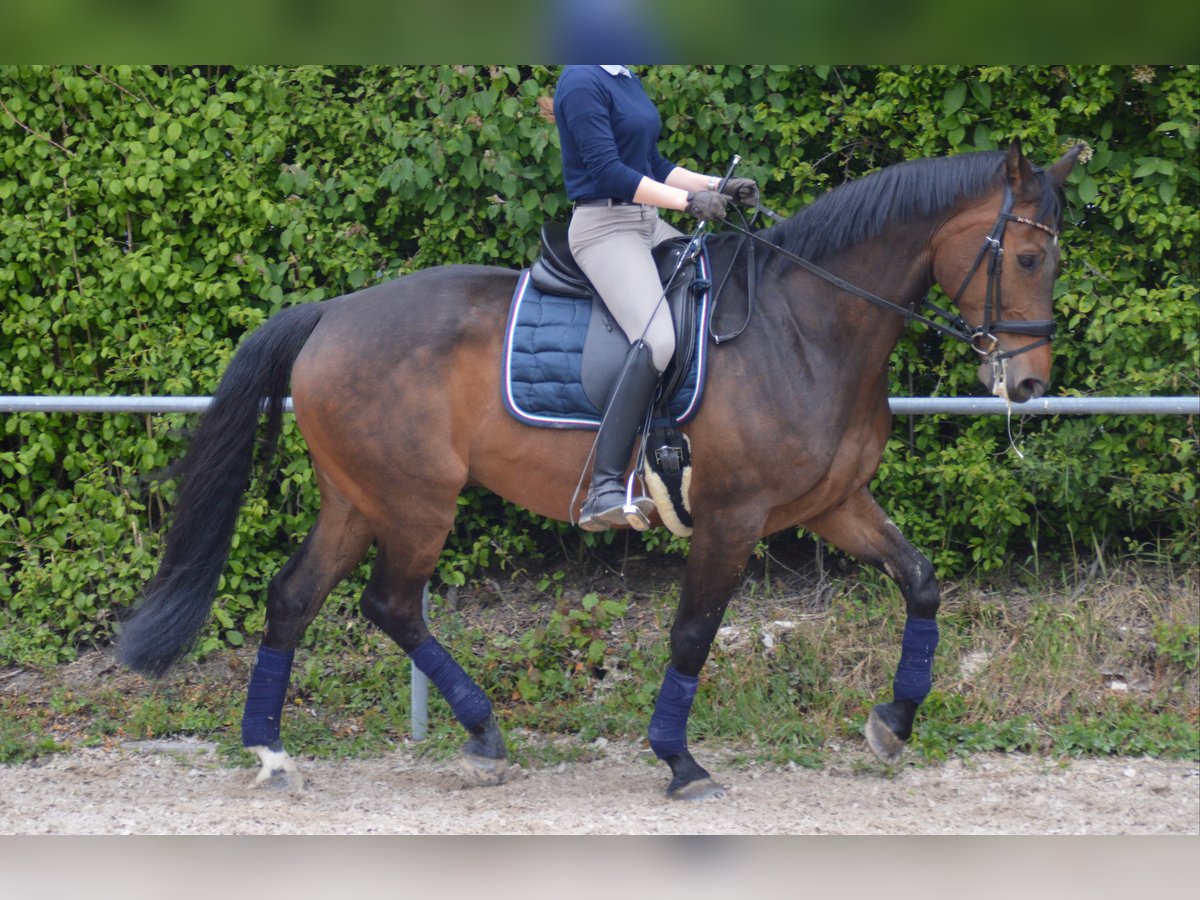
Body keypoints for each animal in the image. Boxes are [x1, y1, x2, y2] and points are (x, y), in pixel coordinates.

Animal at [117, 137, 1084, 801]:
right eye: (1028, 256)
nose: (1029, 384)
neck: (806, 326)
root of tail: (330, 313)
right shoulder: (732, 517)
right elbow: (692, 634)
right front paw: (680, 761)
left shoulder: (833, 502)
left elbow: (921, 582)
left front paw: (893, 723)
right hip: (416, 502)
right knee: (388, 603)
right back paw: (474, 734)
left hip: (359, 497)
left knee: (295, 597)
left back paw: (277, 750)